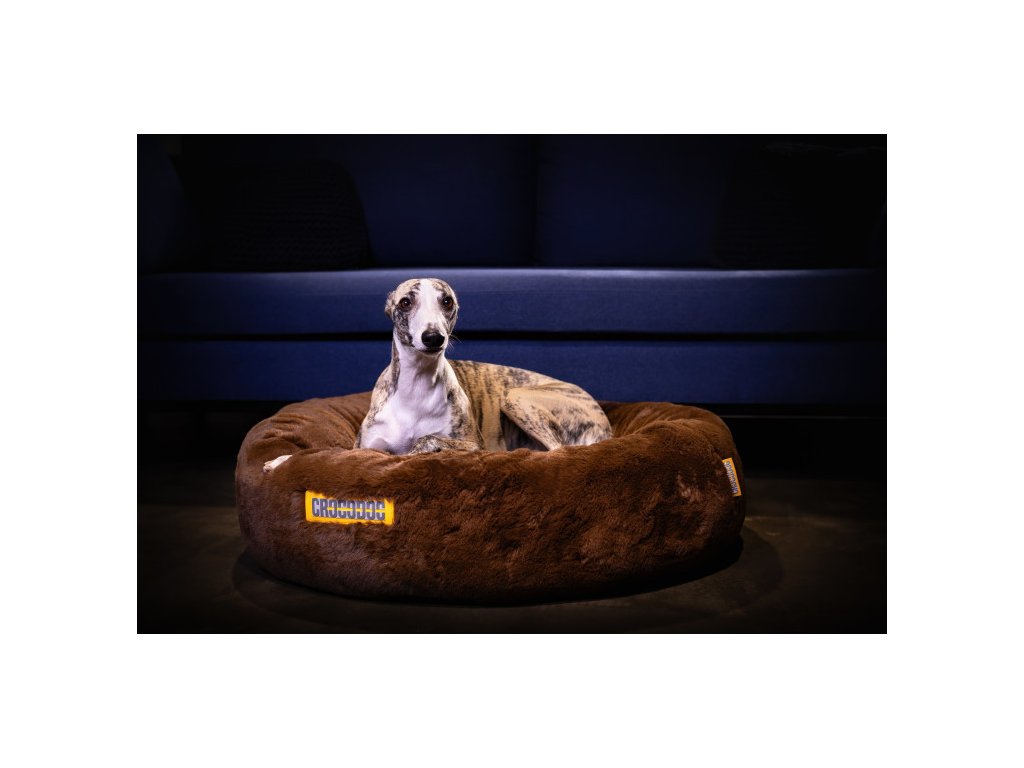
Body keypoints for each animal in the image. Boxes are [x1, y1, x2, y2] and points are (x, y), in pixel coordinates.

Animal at [263, 278, 612, 471]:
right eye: (405, 302)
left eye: (447, 301)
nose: (433, 338)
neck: (415, 387)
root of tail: (606, 426)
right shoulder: (362, 446)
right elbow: (327, 452)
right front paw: (282, 460)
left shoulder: (472, 446)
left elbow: (423, 442)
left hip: (517, 398)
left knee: (559, 450)